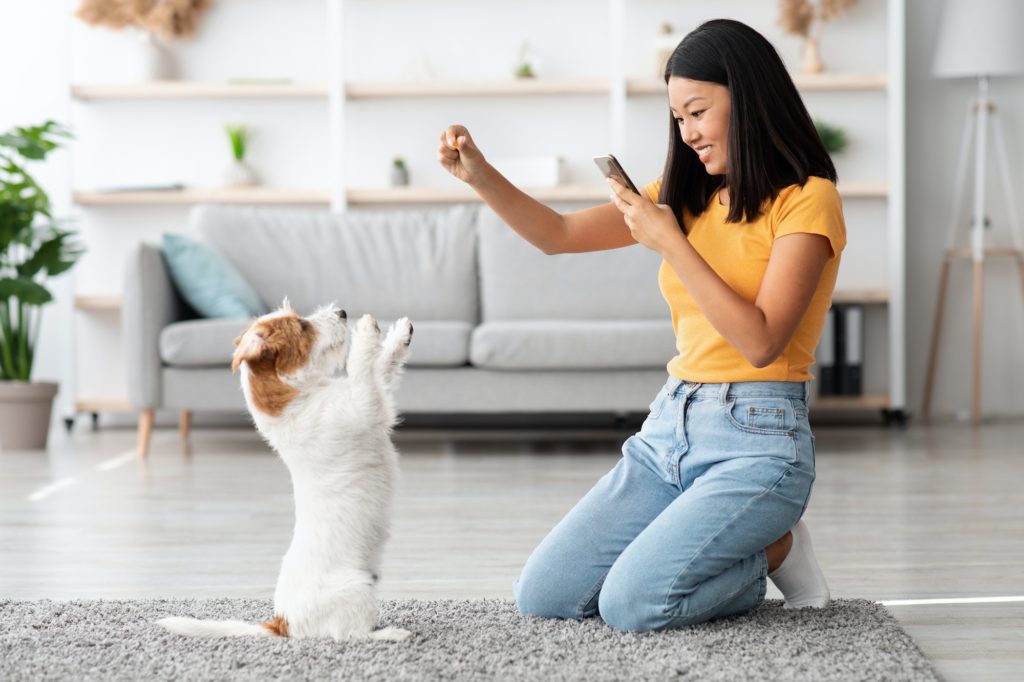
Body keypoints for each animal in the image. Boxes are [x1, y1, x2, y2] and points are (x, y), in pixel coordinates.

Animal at [157, 301, 413, 638]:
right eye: (303, 326)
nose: (343, 312)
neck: (296, 398)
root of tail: (282, 622)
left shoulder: (370, 396)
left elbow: (382, 367)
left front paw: (400, 334)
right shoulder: (364, 405)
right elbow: (362, 370)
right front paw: (366, 330)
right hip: (357, 591)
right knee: (351, 635)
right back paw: (391, 633)